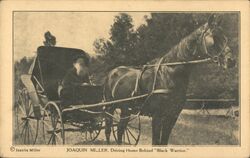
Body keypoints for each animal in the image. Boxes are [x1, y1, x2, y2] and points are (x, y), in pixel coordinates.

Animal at [103, 14, 236, 145]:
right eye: (214, 37)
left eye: (225, 37)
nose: (231, 61)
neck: (168, 75)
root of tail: (111, 72)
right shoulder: (157, 116)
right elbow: (156, 142)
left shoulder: (172, 116)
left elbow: (164, 142)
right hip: (110, 107)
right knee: (109, 129)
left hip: (125, 109)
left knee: (120, 129)